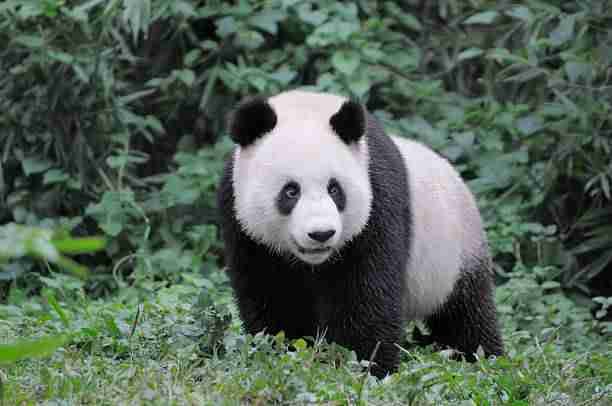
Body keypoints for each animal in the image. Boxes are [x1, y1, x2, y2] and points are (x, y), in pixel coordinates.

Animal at [218, 89, 504, 378]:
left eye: (334, 189)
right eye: (291, 191)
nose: (321, 234)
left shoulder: (378, 201)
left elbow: (366, 295)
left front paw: (365, 366)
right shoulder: (243, 226)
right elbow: (274, 296)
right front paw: (283, 354)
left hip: (457, 249)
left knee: (466, 313)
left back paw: (481, 357)